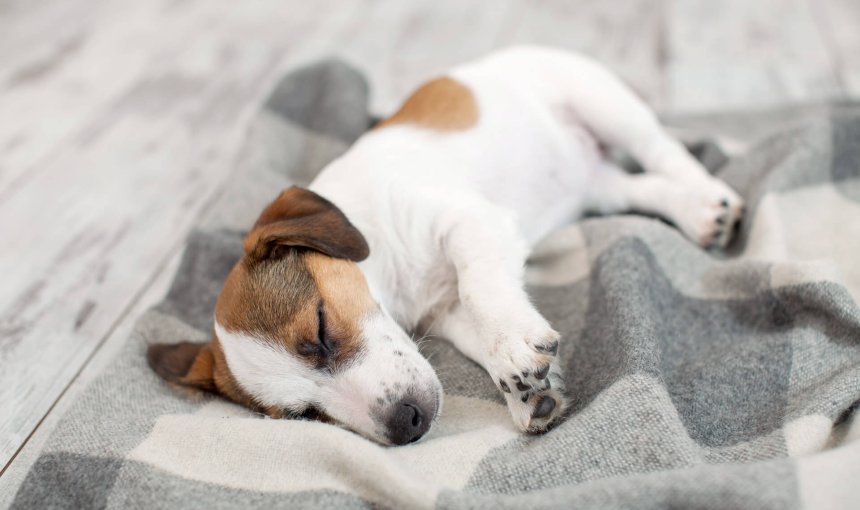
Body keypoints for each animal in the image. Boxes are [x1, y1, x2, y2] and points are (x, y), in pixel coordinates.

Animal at [146, 47, 740, 446]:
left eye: (319, 330)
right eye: (304, 417)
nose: (405, 424)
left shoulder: (468, 222)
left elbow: (482, 289)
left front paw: (511, 346)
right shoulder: (446, 312)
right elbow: (477, 332)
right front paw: (527, 389)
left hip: (603, 104)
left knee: (664, 152)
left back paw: (709, 205)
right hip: (598, 186)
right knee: (643, 187)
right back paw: (691, 209)